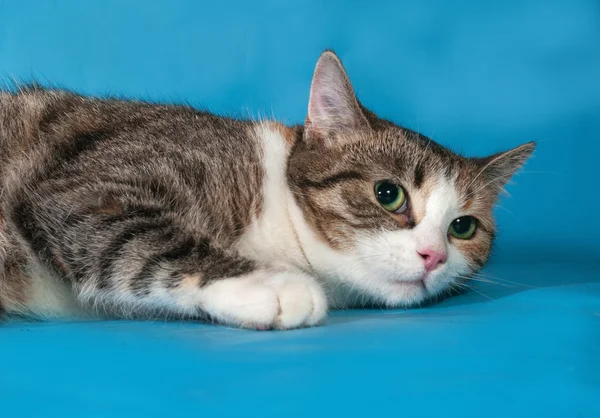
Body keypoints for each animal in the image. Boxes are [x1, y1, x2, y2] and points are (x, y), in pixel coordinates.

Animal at [0, 50, 536, 328]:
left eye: (463, 227)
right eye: (389, 194)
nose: (434, 256)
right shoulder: (88, 187)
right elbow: (140, 237)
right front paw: (270, 285)